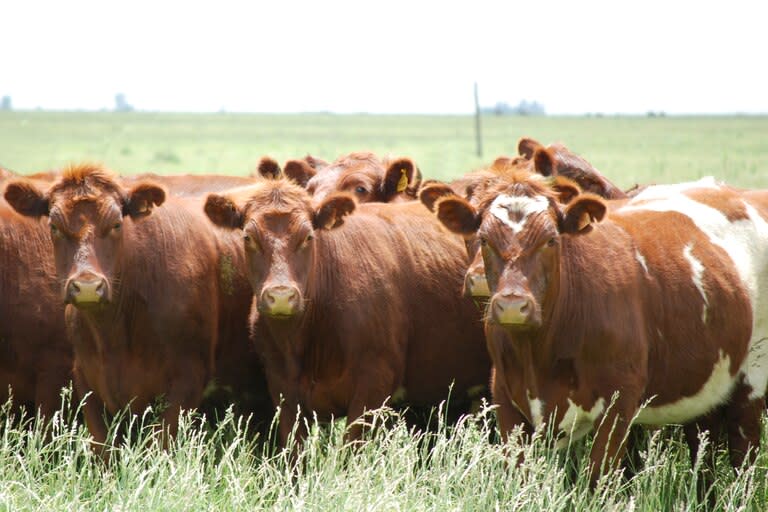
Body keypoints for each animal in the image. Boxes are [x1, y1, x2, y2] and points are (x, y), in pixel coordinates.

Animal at [432, 171, 768, 488]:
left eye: (551, 240)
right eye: (484, 239)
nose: (513, 305)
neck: (539, 353)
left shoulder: (619, 402)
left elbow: (597, 478)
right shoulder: (505, 396)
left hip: (753, 376)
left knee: (743, 454)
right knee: (703, 451)